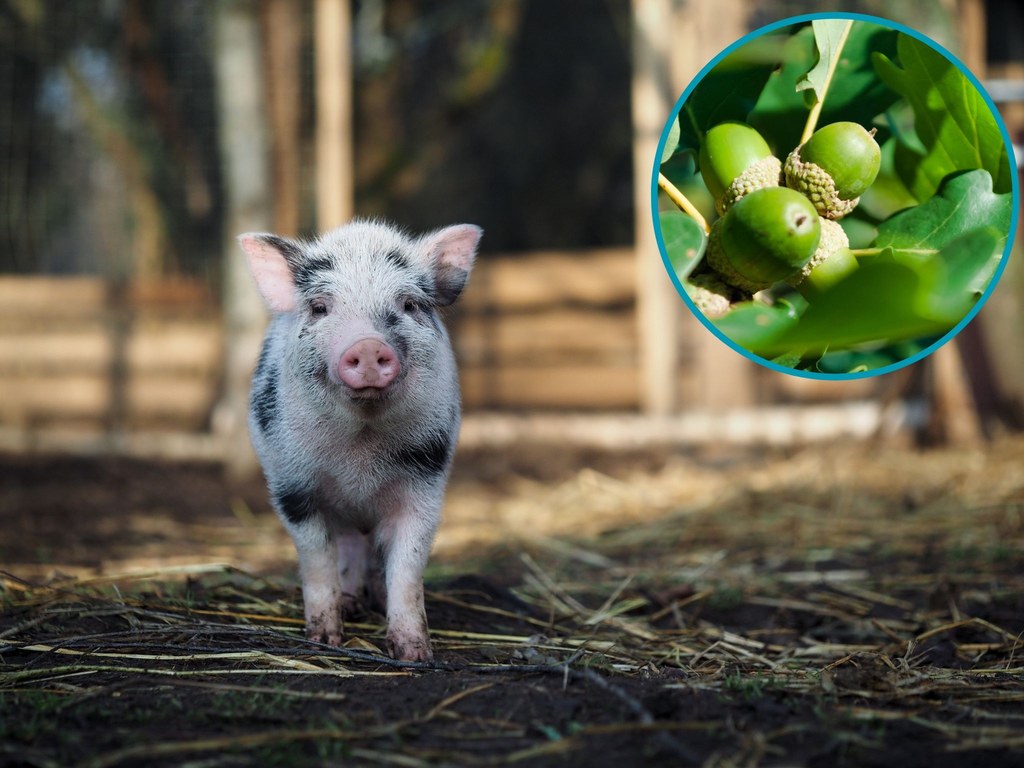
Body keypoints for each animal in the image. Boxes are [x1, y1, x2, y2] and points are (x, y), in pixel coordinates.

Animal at [237, 218, 481, 663]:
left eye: (409, 305)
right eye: (320, 307)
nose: (368, 346)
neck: (359, 453)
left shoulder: (426, 480)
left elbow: (408, 565)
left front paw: (415, 655)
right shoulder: (291, 486)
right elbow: (317, 560)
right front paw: (324, 641)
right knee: (349, 543)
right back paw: (351, 605)